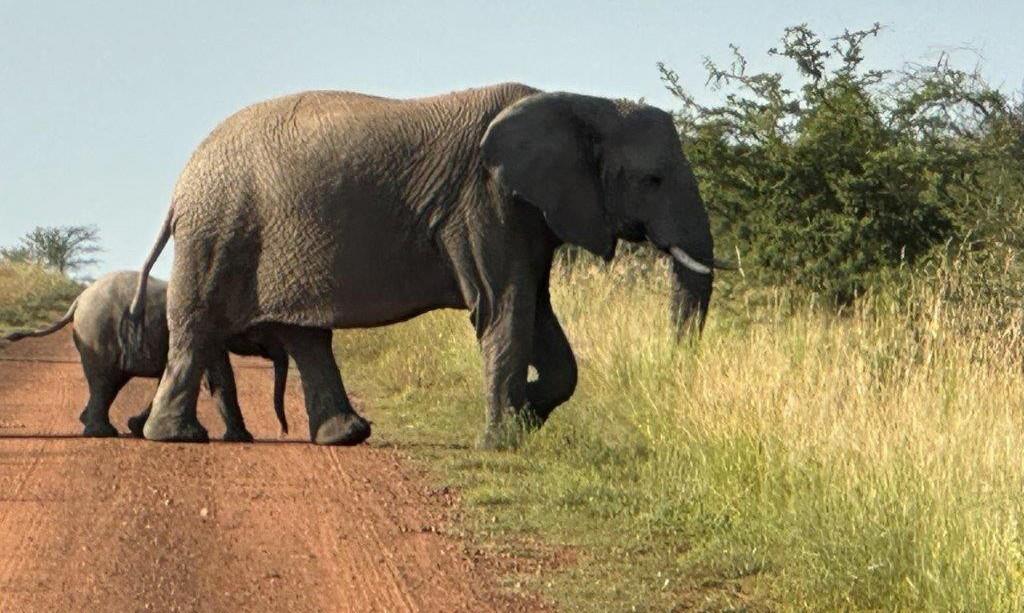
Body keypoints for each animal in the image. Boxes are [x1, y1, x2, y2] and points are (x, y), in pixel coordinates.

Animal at [3, 271, 289, 440]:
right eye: (265, 328)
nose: (283, 432)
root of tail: (78, 300)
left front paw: (136, 427)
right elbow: (219, 380)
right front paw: (243, 439)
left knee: (111, 383)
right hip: (97, 331)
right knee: (105, 381)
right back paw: (102, 434)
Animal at [123, 82, 728, 448]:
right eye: (652, 179)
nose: (672, 370)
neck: (583, 103)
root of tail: (181, 184)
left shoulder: (528, 214)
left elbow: (538, 315)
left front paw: (528, 413)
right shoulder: (486, 202)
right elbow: (504, 311)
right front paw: (504, 441)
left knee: (305, 335)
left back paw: (346, 436)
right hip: (219, 231)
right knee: (199, 327)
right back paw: (175, 438)